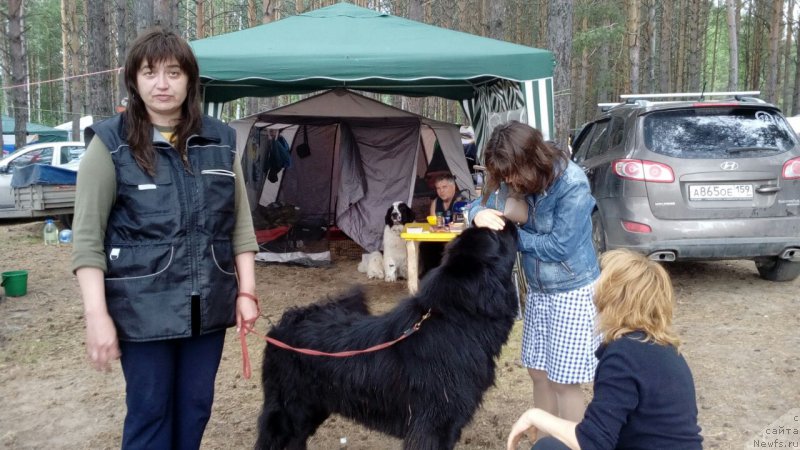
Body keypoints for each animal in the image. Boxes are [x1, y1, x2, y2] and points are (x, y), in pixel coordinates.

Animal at [256, 219, 520, 450]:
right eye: (495, 234)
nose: (508, 220)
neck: (458, 322)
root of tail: (287, 319)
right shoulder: (433, 425)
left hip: (312, 408)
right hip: (287, 409)